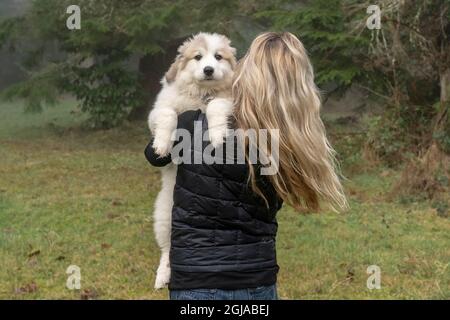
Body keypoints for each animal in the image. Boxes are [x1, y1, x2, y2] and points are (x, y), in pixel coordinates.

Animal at [149, 33, 237, 290]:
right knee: (167, 249)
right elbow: (168, 114)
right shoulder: (157, 112)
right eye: (197, 57)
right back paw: (162, 275)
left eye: (218, 57)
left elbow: (216, 105)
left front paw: (217, 135)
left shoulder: (228, 101)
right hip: (164, 218)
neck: (201, 94)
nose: (208, 69)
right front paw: (162, 145)